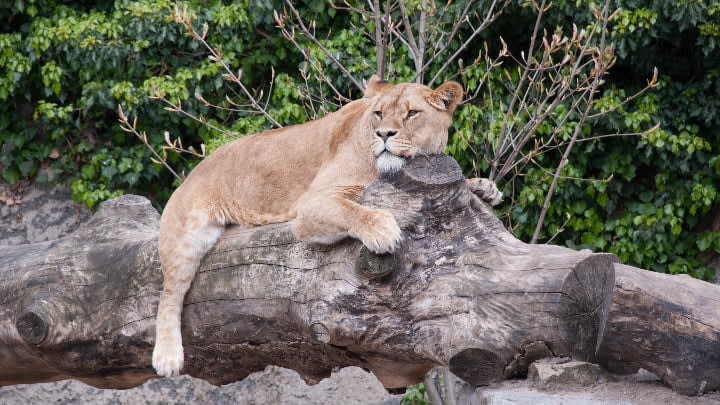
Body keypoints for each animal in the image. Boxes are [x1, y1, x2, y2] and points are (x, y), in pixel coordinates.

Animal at [152, 76, 502, 377]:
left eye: (412, 113)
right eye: (379, 114)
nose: (384, 135)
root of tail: (192, 173)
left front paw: (483, 187)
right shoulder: (312, 203)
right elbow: (352, 210)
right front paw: (383, 231)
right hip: (187, 235)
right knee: (169, 293)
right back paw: (167, 357)